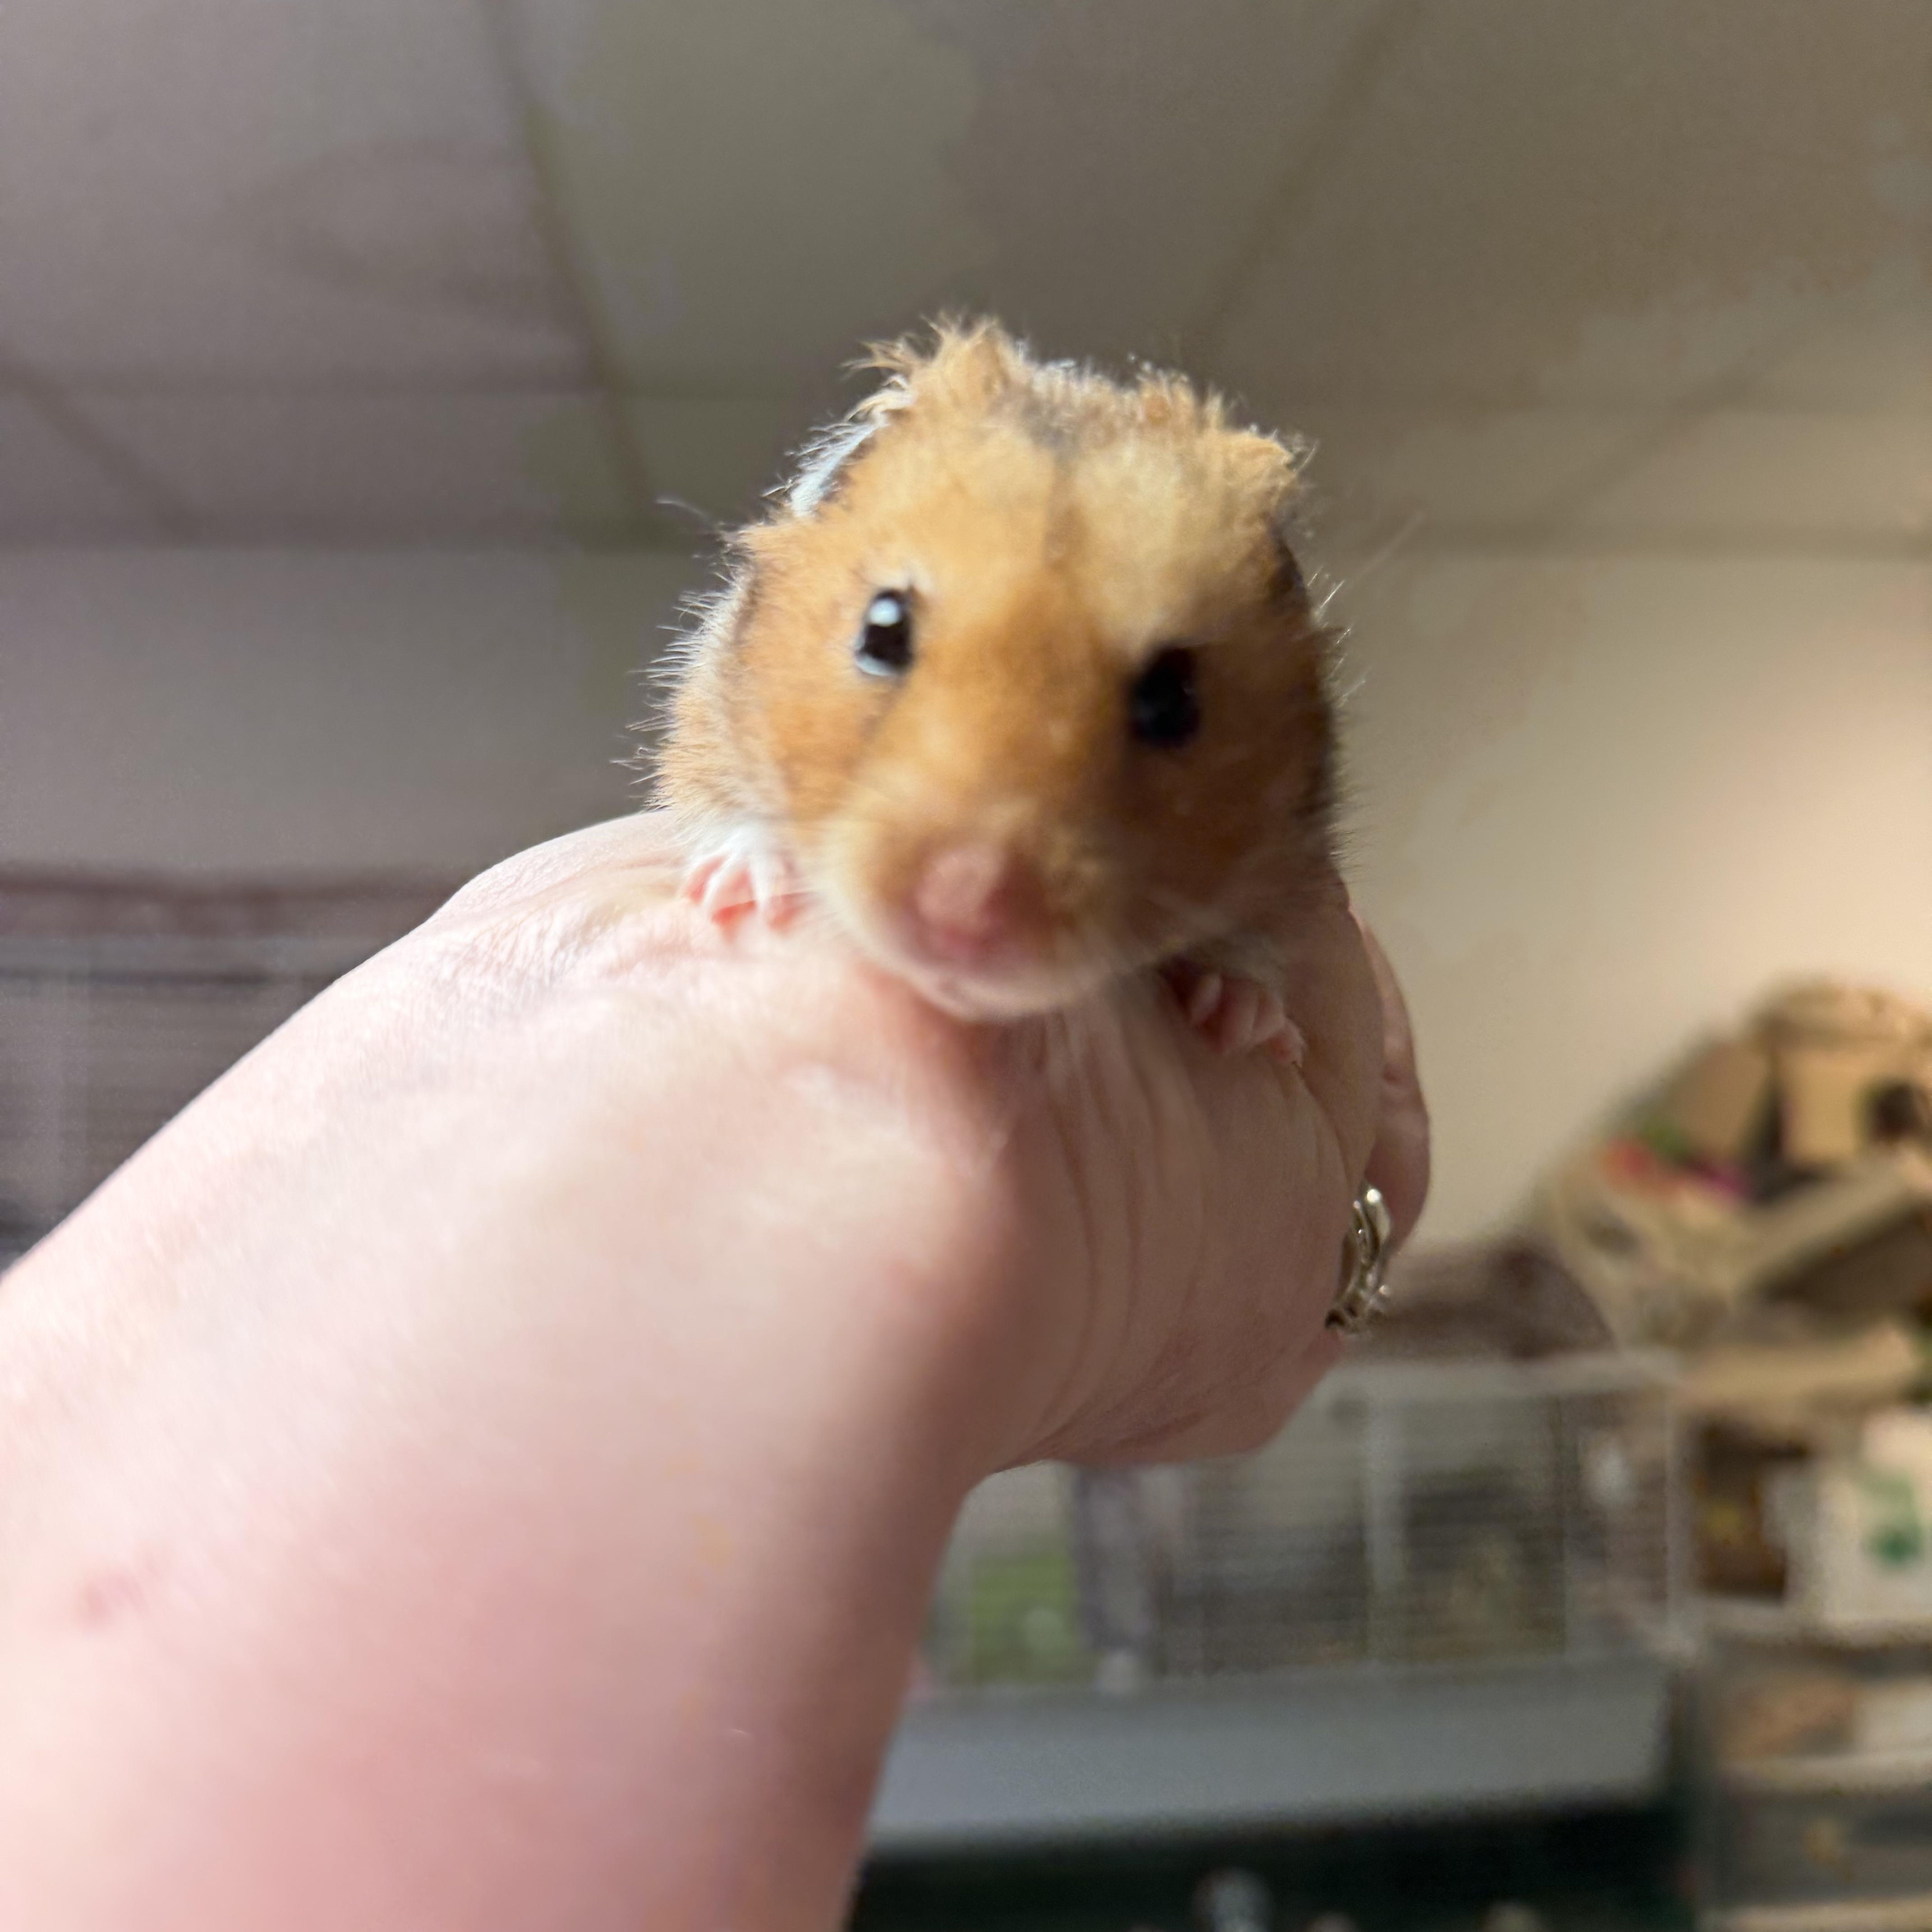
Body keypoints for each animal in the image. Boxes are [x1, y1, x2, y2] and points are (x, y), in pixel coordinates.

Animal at [652, 319, 1338, 1061]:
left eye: (1175, 700)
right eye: (881, 631)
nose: (964, 912)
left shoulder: (1297, 856)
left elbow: (1262, 936)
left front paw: (1245, 1020)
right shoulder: (706, 711)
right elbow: (724, 804)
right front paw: (741, 891)